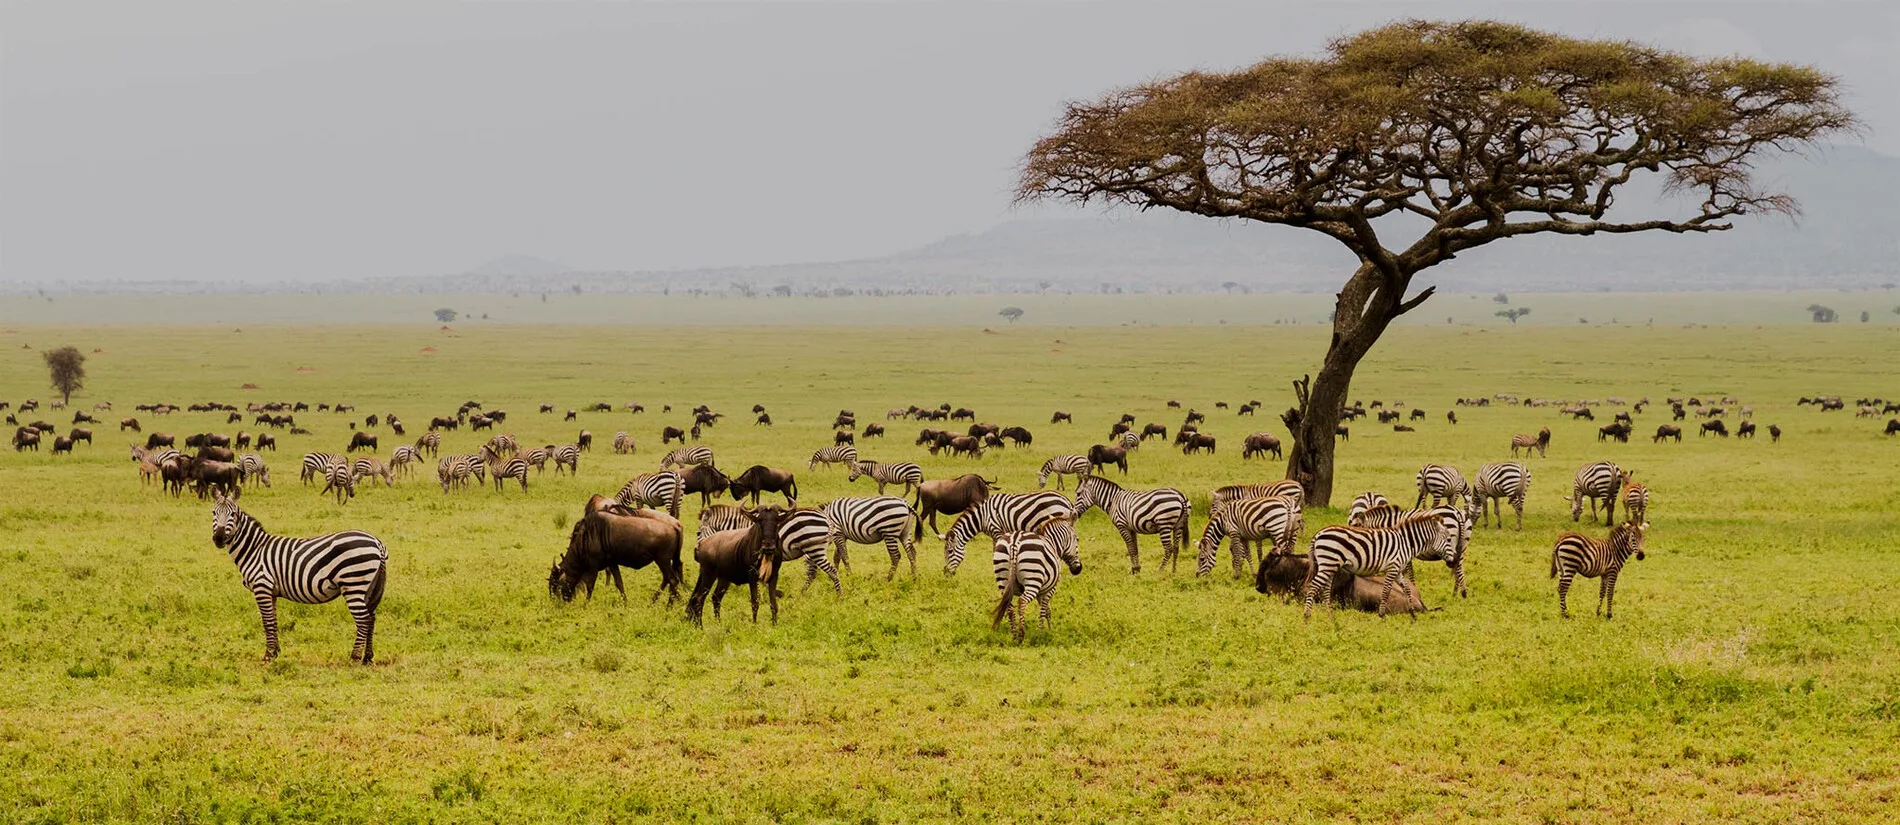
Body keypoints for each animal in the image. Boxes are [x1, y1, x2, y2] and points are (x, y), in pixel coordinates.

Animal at [210, 494, 388, 663]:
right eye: (213, 513)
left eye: (233, 514)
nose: (218, 538)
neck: (255, 549)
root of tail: (377, 542)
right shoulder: (271, 592)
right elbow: (274, 621)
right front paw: (275, 652)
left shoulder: (262, 586)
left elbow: (267, 622)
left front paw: (268, 656)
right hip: (368, 587)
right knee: (371, 618)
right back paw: (367, 657)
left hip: (353, 583)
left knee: (363, 619)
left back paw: (355, 657)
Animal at [942, 491, 1076, 575]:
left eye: (950, 551)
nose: (946, 573)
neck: (982, 517)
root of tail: (1066, 500)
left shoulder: (997, 531)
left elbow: (996, 550)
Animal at [1304, 512, 1452, 619]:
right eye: (1449, 539)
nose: (1451, 560)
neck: (1406, 542)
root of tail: (1318, 534)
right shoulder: (1392, 568)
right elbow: (1386, 591)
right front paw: (1382, 615)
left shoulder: (1398, 570)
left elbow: (1407, 589)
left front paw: (1413, 613)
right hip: (1328, 563)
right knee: (1313, 586)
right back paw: (1307, 616)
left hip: (1330, 565)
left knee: (1325, 589)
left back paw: (1329, 615)